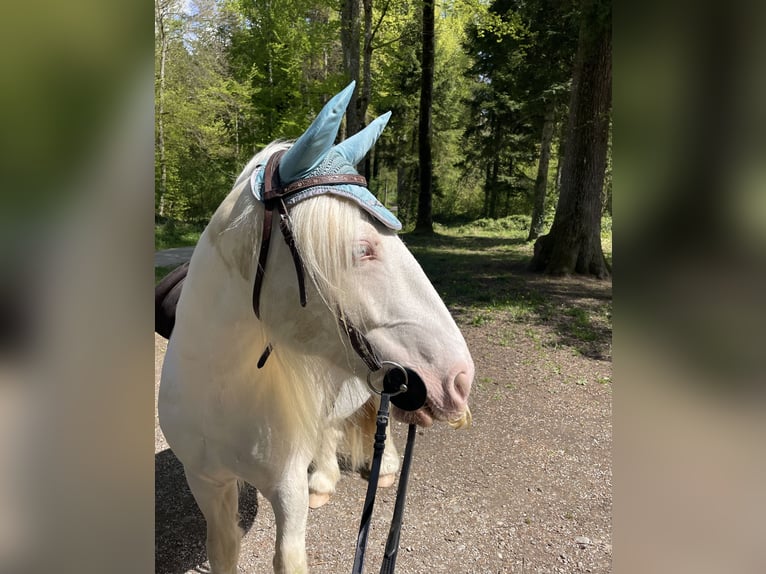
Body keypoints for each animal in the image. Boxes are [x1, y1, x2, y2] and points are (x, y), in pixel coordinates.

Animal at [158, 82, 474, 574]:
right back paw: (323, 479)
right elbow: (223, 550)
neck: (220, 391)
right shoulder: (207, 483)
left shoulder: (285, 492)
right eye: (362, 249)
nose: (460, 377)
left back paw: (384, 470)